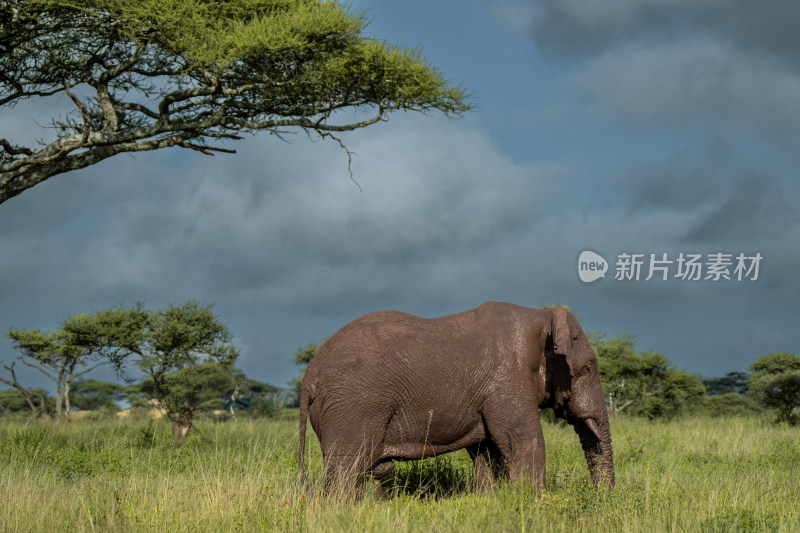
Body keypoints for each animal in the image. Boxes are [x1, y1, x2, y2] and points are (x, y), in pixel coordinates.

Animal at [296, 302, 616, 492]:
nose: (602, 498)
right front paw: (533, 504)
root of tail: (309, 378)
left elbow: (487, 450)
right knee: (347, 468)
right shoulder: (507, 380)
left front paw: (492, 501)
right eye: (588, 369)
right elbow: (523, 440)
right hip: (353, 406)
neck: (542, 315)